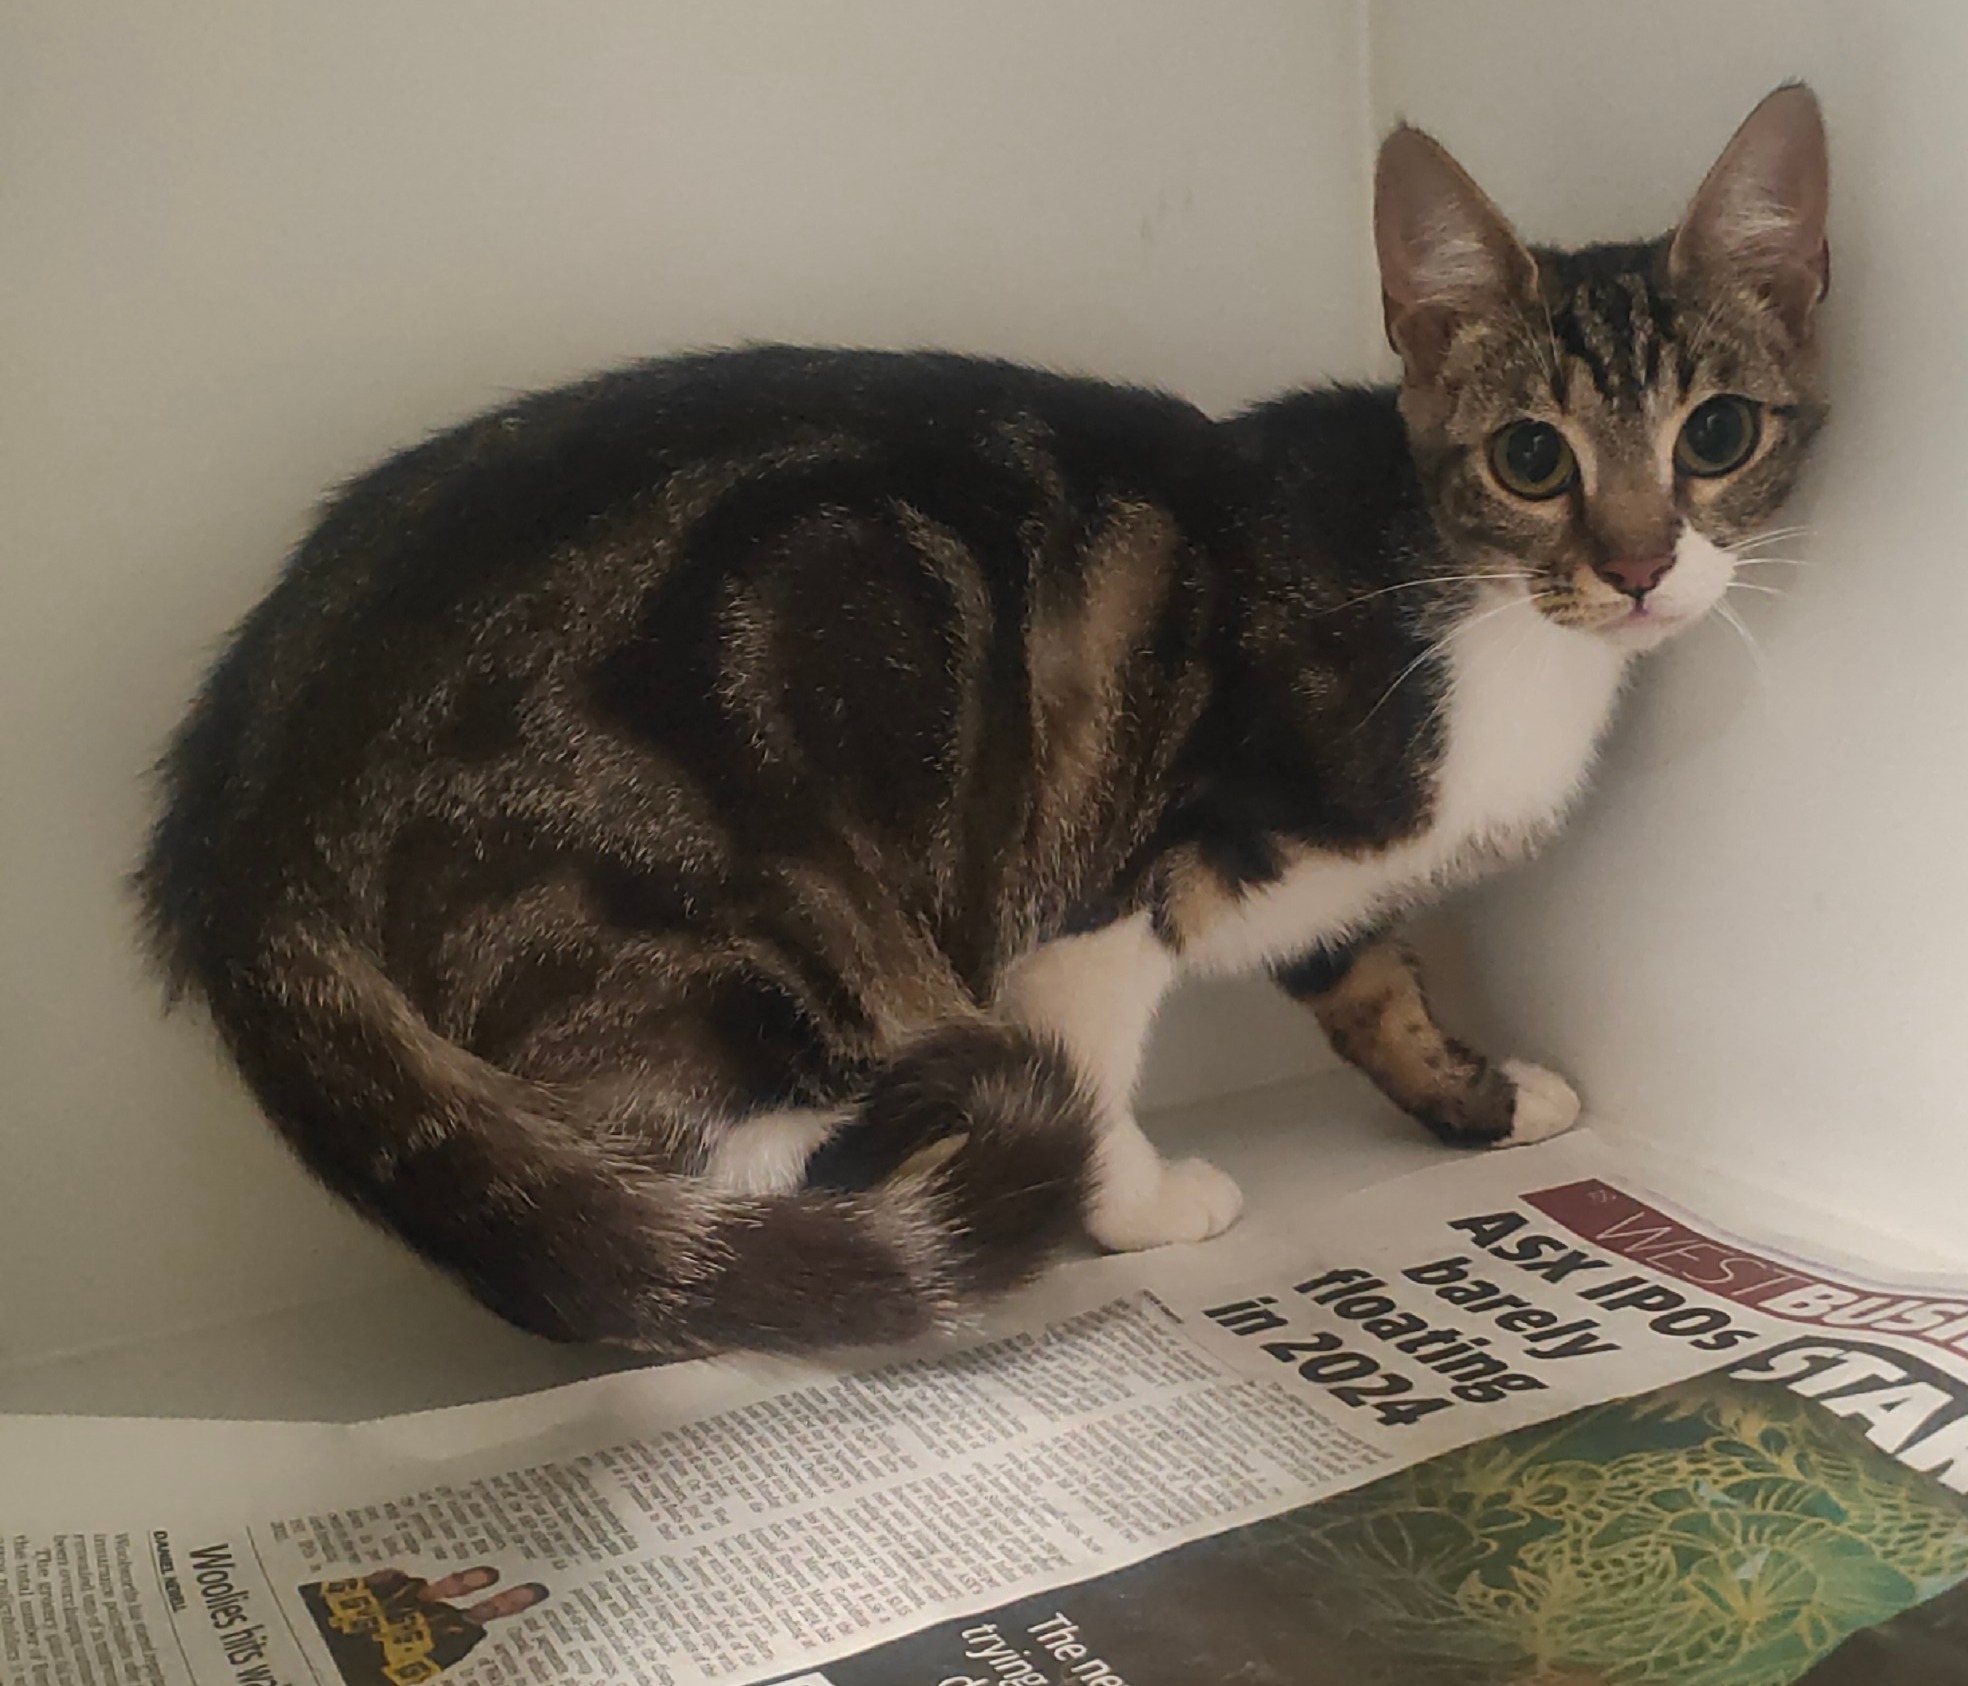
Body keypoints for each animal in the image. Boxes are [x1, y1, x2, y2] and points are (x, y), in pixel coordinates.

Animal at [138, 85, 1826, 1361]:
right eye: (1534, 456)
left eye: (1718, 434)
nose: (1638, 566)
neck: (1476, 603)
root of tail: (239, 804)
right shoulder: (1116, 877)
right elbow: (1091, 1047)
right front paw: (1137, 1206)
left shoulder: (1322, 873)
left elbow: (1372, 977)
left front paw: (1480, 1094)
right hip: (730, 894)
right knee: (714, 1136)